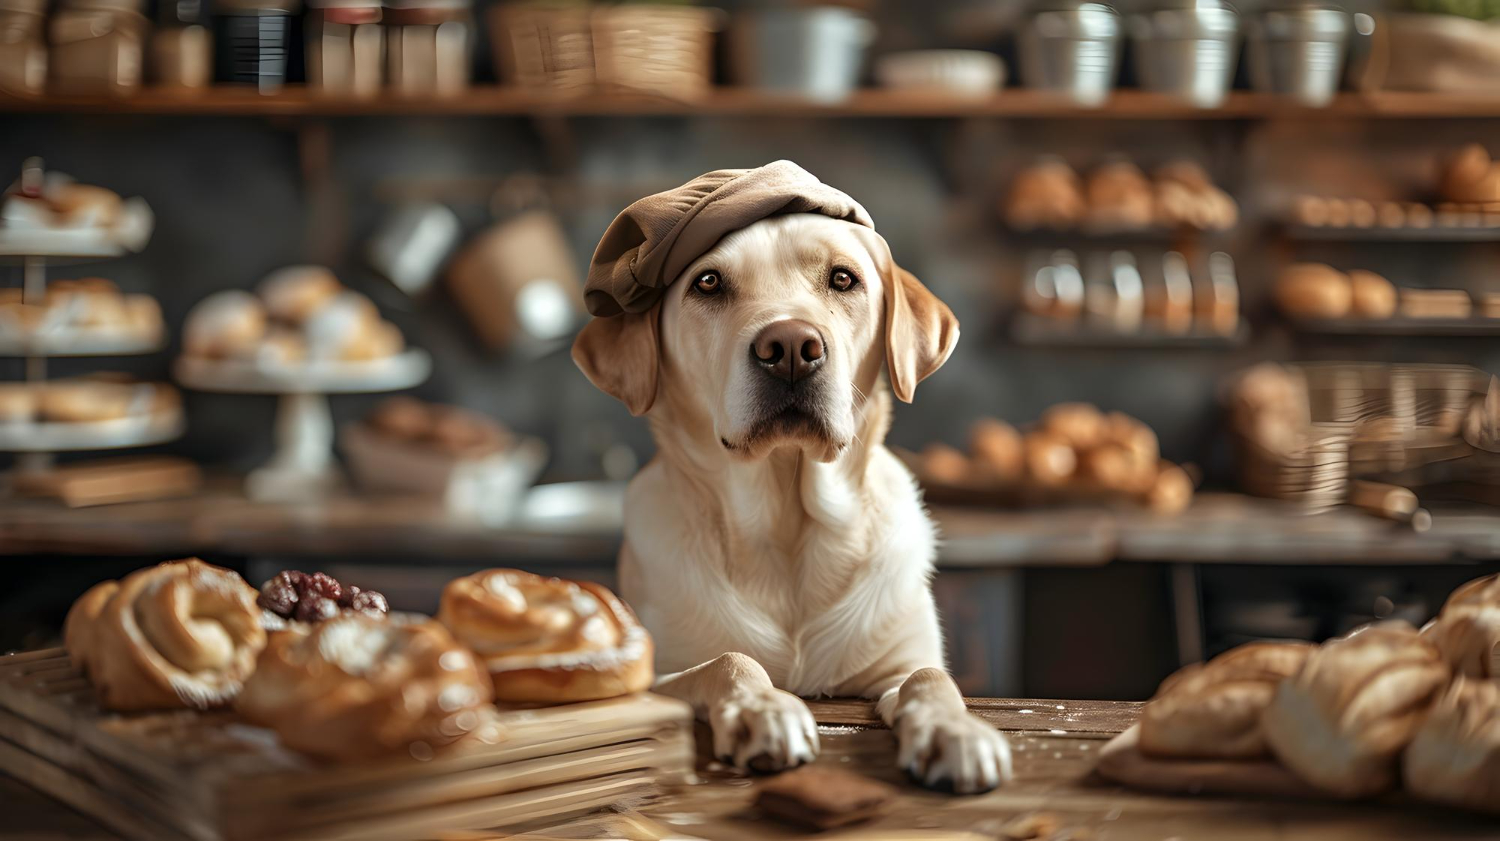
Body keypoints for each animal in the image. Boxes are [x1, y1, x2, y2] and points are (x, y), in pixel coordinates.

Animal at [567, 209, 1014, 791]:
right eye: (707, 283)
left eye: (843, 279)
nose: (791, 348)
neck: (788, 525)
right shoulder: (658, 674)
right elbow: (729, 661)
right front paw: (764, 710)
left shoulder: (901, 661)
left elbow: (930, 677)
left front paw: (955, 731)